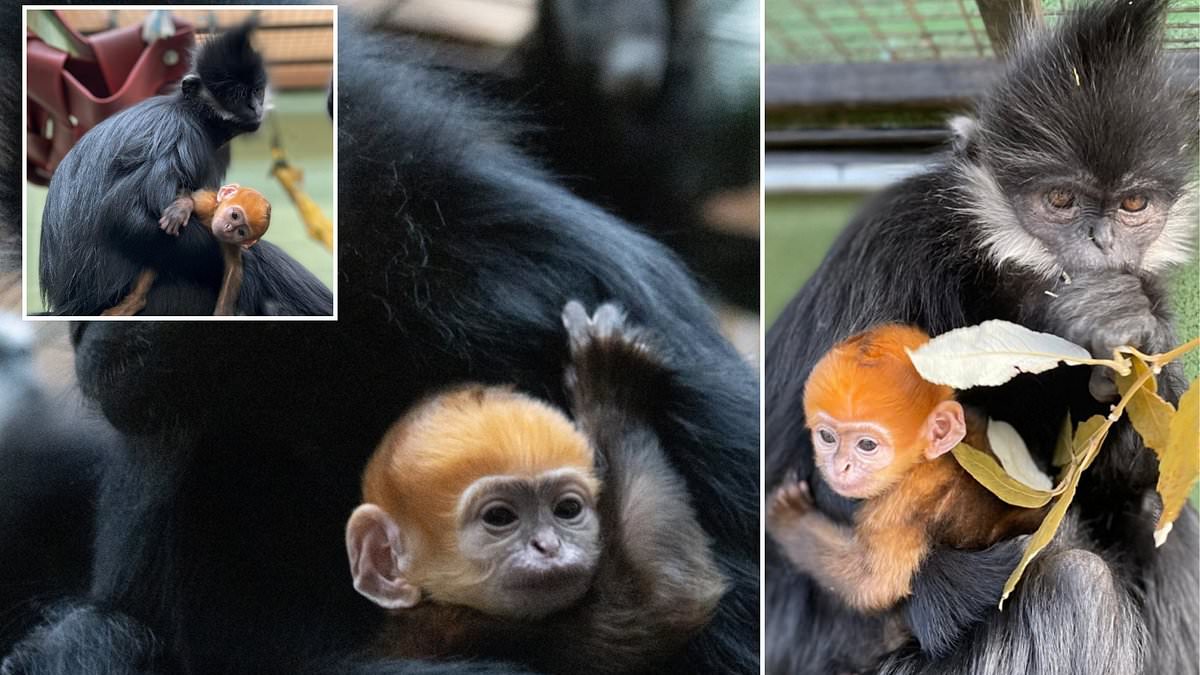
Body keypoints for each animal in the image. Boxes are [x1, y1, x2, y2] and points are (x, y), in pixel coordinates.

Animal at [101, 182, 272, 317]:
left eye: (241, 232)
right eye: (234, 215)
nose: (229, 228)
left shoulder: (230, 243)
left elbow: (233, 269)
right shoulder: (205, 202)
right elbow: (188, 194)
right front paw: (181, 208)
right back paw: (135, 301)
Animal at [768, 324, 1041, 612]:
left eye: (867, 445)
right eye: (827, 437)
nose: (840, 466)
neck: (927, 461)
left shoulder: (898, 506)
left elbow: (872, 581)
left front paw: (787, 517)